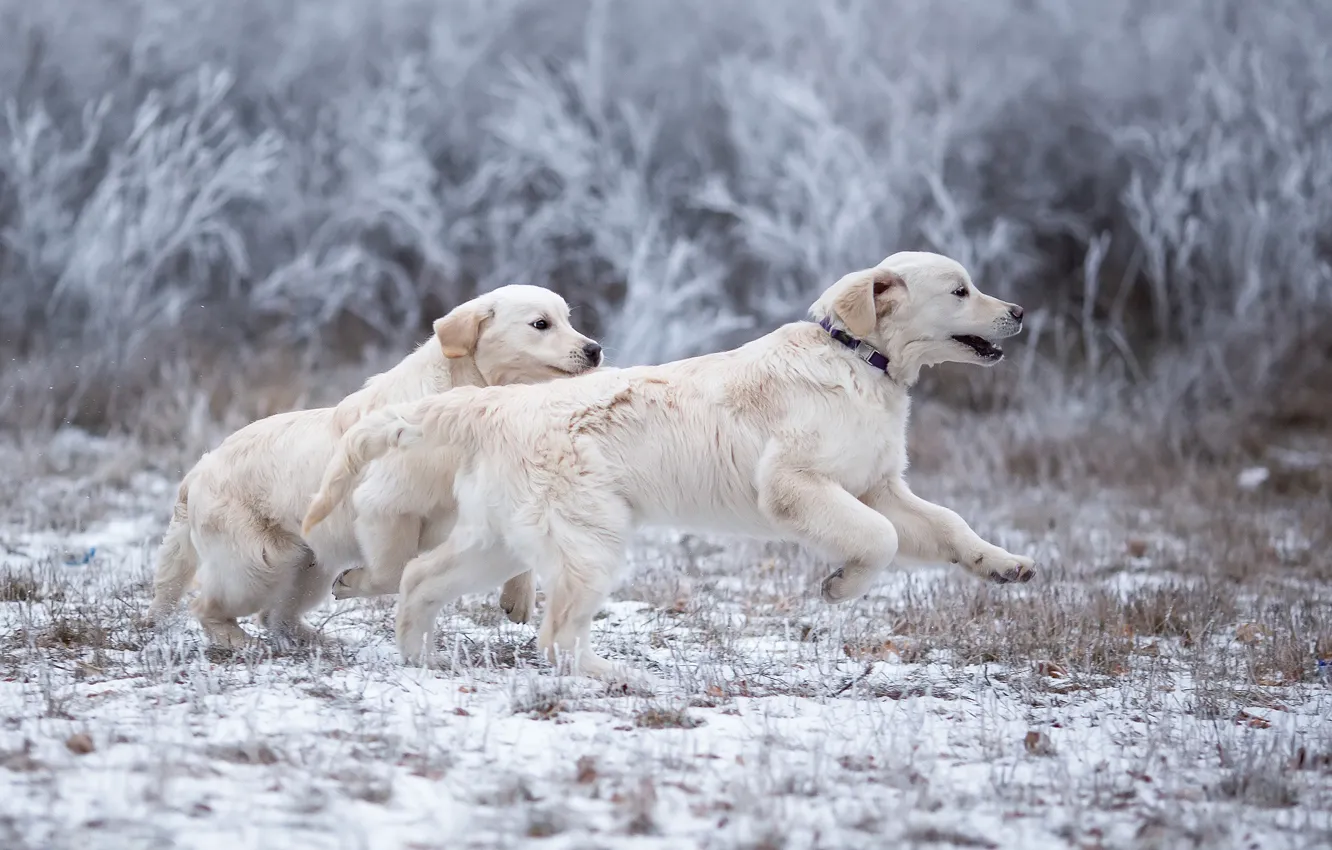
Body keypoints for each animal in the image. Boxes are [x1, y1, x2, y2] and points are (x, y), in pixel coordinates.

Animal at [147, 285, 604, 644]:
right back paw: (236, 641)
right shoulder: (384, 505)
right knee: (207, 605)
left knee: (275, 616)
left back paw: (315, 640)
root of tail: (196, 473)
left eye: (567, 318)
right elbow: (392, 571)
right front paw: (354, 583)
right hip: (258, 563)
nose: (595, 349)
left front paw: (517, 598)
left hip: (307, 566)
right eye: (540, 324)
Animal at [306, 250, 1033, 682]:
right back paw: (614, 678)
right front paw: (840, 586)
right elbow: (877, 539)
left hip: (504, 537)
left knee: (425, 576)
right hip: (587, 540)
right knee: (555, 634)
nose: (1020, 310)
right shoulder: (795, 482)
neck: (859, 360)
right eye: (961, 290)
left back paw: (415, 656)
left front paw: (1002, 564)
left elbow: (945, 524)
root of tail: (493, 405)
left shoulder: (878, 484)